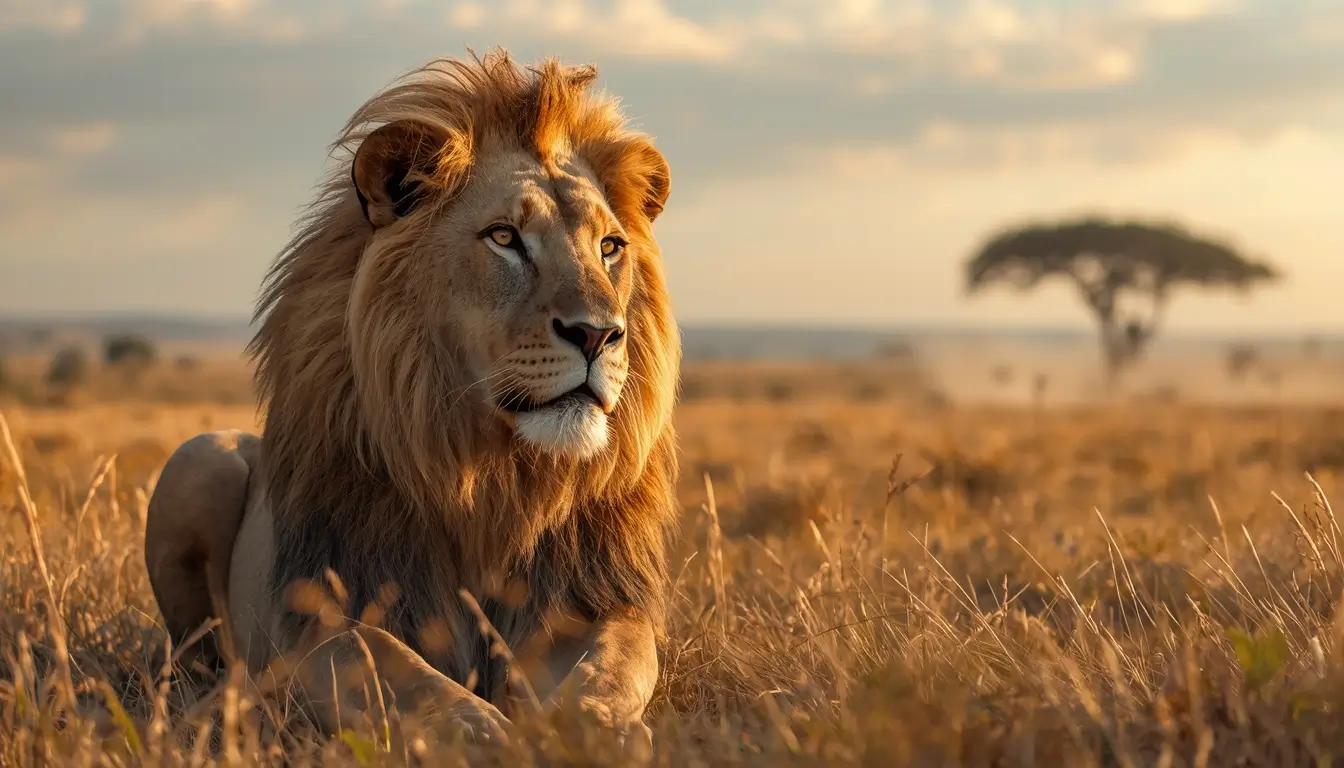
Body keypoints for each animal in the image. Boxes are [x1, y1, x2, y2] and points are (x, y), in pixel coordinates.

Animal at [143, 50, 679, 747]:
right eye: (505, 238)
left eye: (610, 247)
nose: (599, 334)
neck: (493, 479)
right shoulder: (323, 618)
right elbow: (407, 676)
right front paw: (490, 737)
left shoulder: (584, 604)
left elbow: (608, 673)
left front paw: (593, 733)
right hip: (199, 460)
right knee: (189, 659)